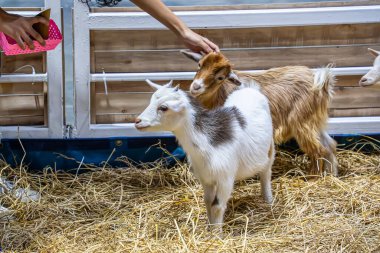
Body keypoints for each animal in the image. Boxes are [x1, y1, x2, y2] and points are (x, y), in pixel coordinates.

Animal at [135, 79, 274, 229]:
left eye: (164, 107)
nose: (137, 121)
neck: (207, 144)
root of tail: (250, 89)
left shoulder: (225, 179)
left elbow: (217, 206)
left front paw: (216, 233)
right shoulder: (205, 178)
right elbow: (208, 201)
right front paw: (209, 227)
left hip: (270, 150)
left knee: (266, 173)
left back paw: (268, 200)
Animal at [182, 49, 338, 176]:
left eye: (220, 77)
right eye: (199, 65)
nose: (196, 87)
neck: (221, 93)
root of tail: (322, 80)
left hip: (302, 122)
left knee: (318, 149)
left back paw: (313, 176)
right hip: (314, 121)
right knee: (329, 145)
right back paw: (331, 174)